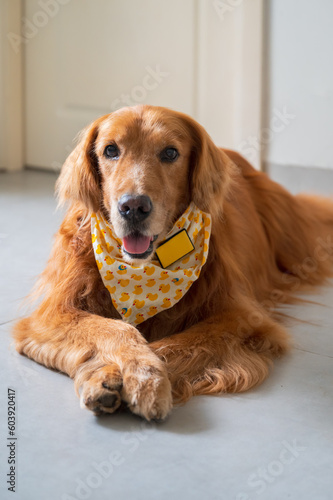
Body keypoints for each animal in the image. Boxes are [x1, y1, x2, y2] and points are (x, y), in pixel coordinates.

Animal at [13, 105, 332, 422]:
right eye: (110, 150)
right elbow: (113, 328)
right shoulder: (52, 314)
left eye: (170, 153)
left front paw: (144, 379)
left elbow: (170, 346)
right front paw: (107, 375)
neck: (143, 270)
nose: (133, 207)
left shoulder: (243, 317)